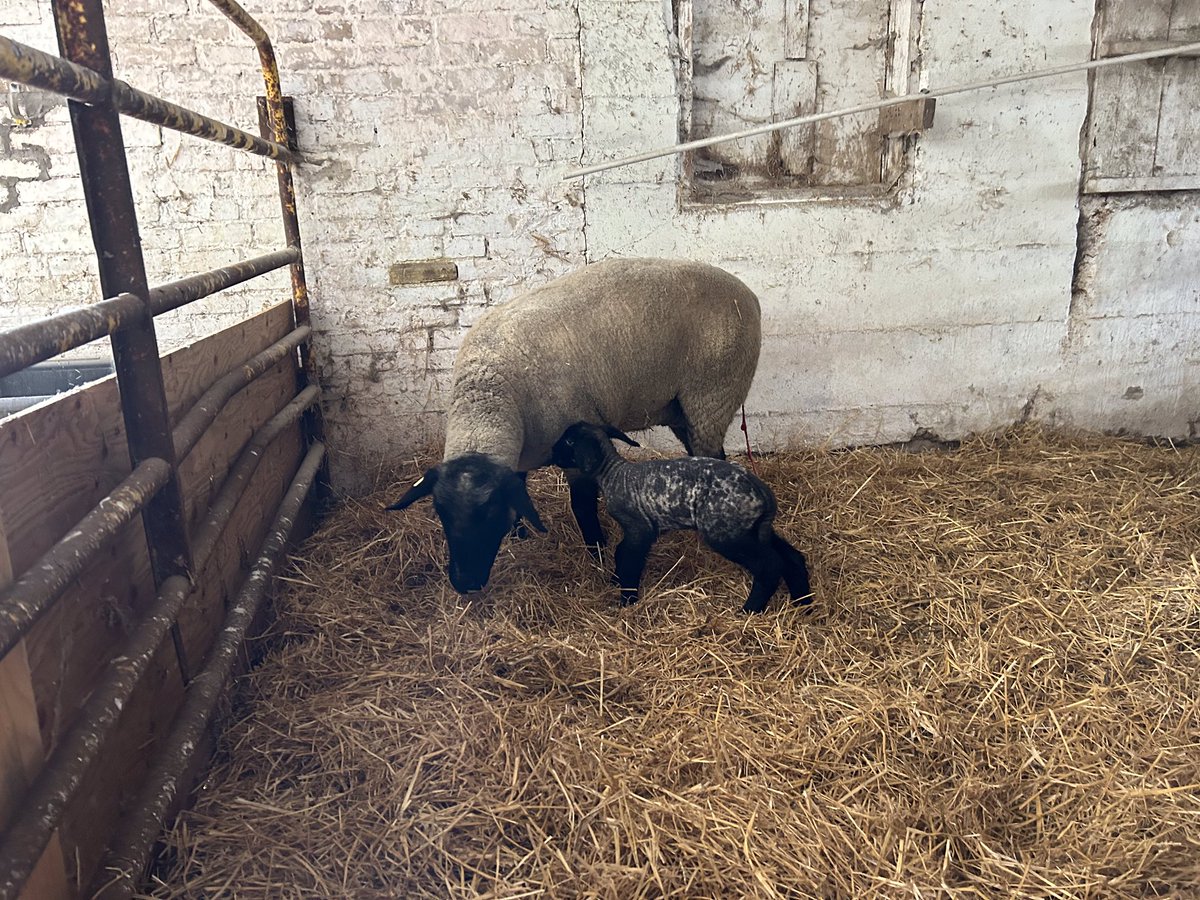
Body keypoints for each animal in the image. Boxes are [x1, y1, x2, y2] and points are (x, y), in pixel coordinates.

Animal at [386, 258, 762, 594]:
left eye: (489, 514)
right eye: (441, 513)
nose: (465, 584)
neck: (491, 391)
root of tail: (747, 294)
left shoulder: (577, 444)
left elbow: (581, 505)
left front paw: (596, 551)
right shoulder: (519, 454)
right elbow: (520, 489)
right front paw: (519, 535)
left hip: (712, 395)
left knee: (714, 455)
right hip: (683, 408)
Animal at [550, 422, 813, 614]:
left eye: (569, 441)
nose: (551, 452)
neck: (613, 474)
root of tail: (762, 493)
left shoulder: (639, 528)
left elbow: (629, 558)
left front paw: (627, 599)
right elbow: (621, 552)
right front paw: (617, 582)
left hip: (725, 532)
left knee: (770, 565)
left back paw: (749, 610)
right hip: (754, 529)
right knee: (791, 558)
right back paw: (803, 603)